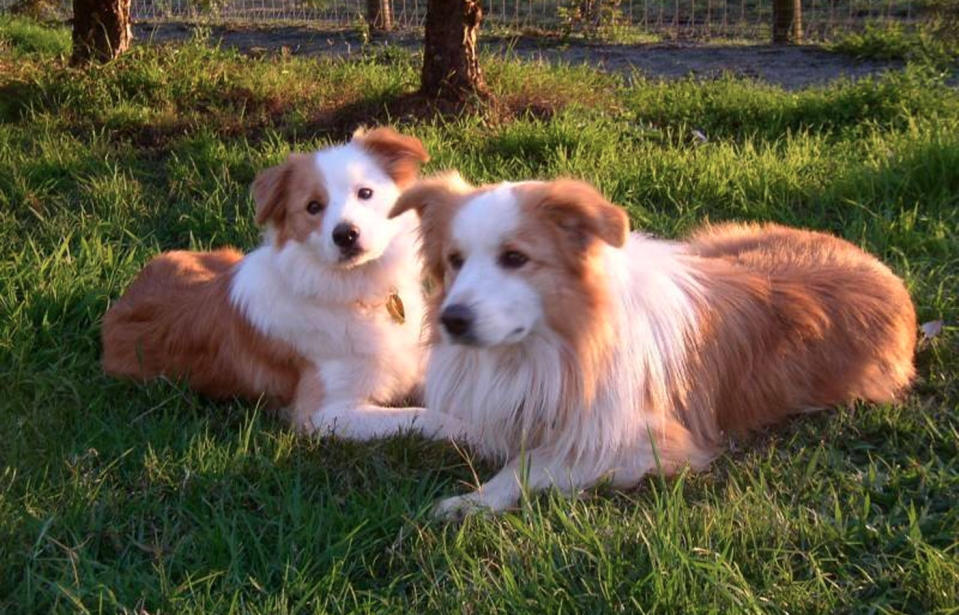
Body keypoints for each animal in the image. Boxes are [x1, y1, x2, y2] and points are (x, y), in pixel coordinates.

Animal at [101, 127, 428, 430]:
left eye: (365, 193)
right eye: (313, 207)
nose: (345, 234)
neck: (358, 292)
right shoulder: (325, 415)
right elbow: (419, 417)